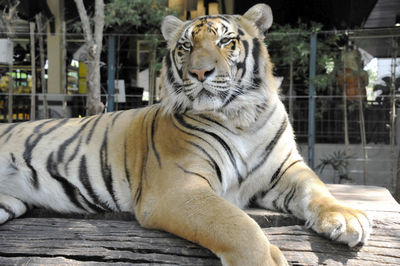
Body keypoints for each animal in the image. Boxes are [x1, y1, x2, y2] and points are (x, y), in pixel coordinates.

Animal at [0, 4, 370, 266]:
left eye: (226, 41)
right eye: (186, 46)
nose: (200, 72)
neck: (242, 117)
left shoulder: (287, 170)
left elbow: (317, 189)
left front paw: (346, 217)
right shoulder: (179, 188)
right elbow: (237, 225)